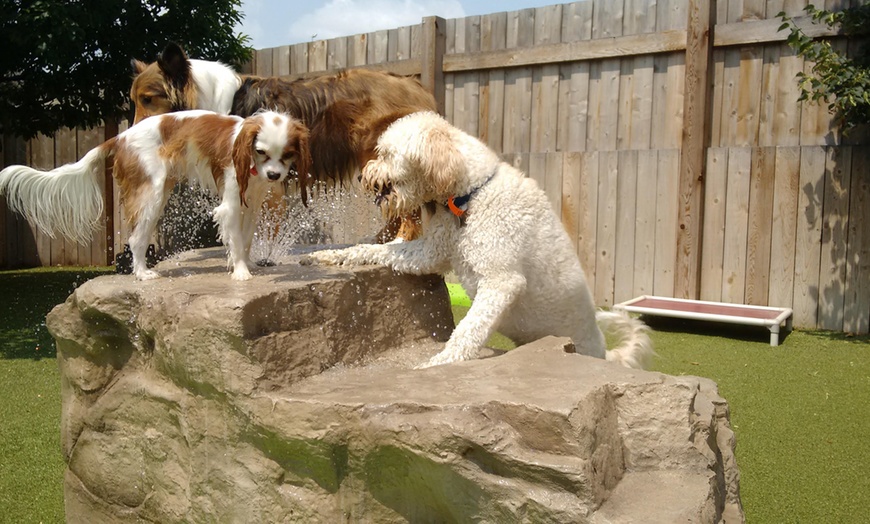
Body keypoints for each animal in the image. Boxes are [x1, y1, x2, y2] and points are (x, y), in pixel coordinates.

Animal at [0, 111, 312, 282]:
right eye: (260, 151)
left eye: (287, 155)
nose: (274, 175)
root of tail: (120, 137)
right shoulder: (232, 204)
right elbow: (235, 239)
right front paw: (240, 272)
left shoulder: (252, 203)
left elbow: (245, 240)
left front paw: (248, 264)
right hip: (151, 194)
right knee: (136, 239)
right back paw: (141, 273)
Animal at [308, 112, 656, 370]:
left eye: (386, 153)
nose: (361, 176)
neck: (470, 196)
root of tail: (603, 353)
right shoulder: (430, 252)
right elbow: (378, 251)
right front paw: (329, 256)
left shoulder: (501, 281)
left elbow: (468, 331)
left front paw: (439, 363)